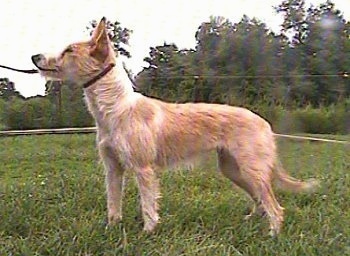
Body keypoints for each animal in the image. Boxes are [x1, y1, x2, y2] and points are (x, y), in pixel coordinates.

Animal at [31, 17, 318, 235]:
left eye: (69, 50)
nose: (35, 56)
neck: (116, 108)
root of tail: (264, 123)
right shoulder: (113, 169)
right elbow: (113, 204)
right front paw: (111, 230)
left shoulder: (143, 169)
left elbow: (148, 206)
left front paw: (148, 234)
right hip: (233, 170)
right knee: (260, 201)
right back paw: (251, 223)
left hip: (252, 170)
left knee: (275, 206)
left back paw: (273, 235)